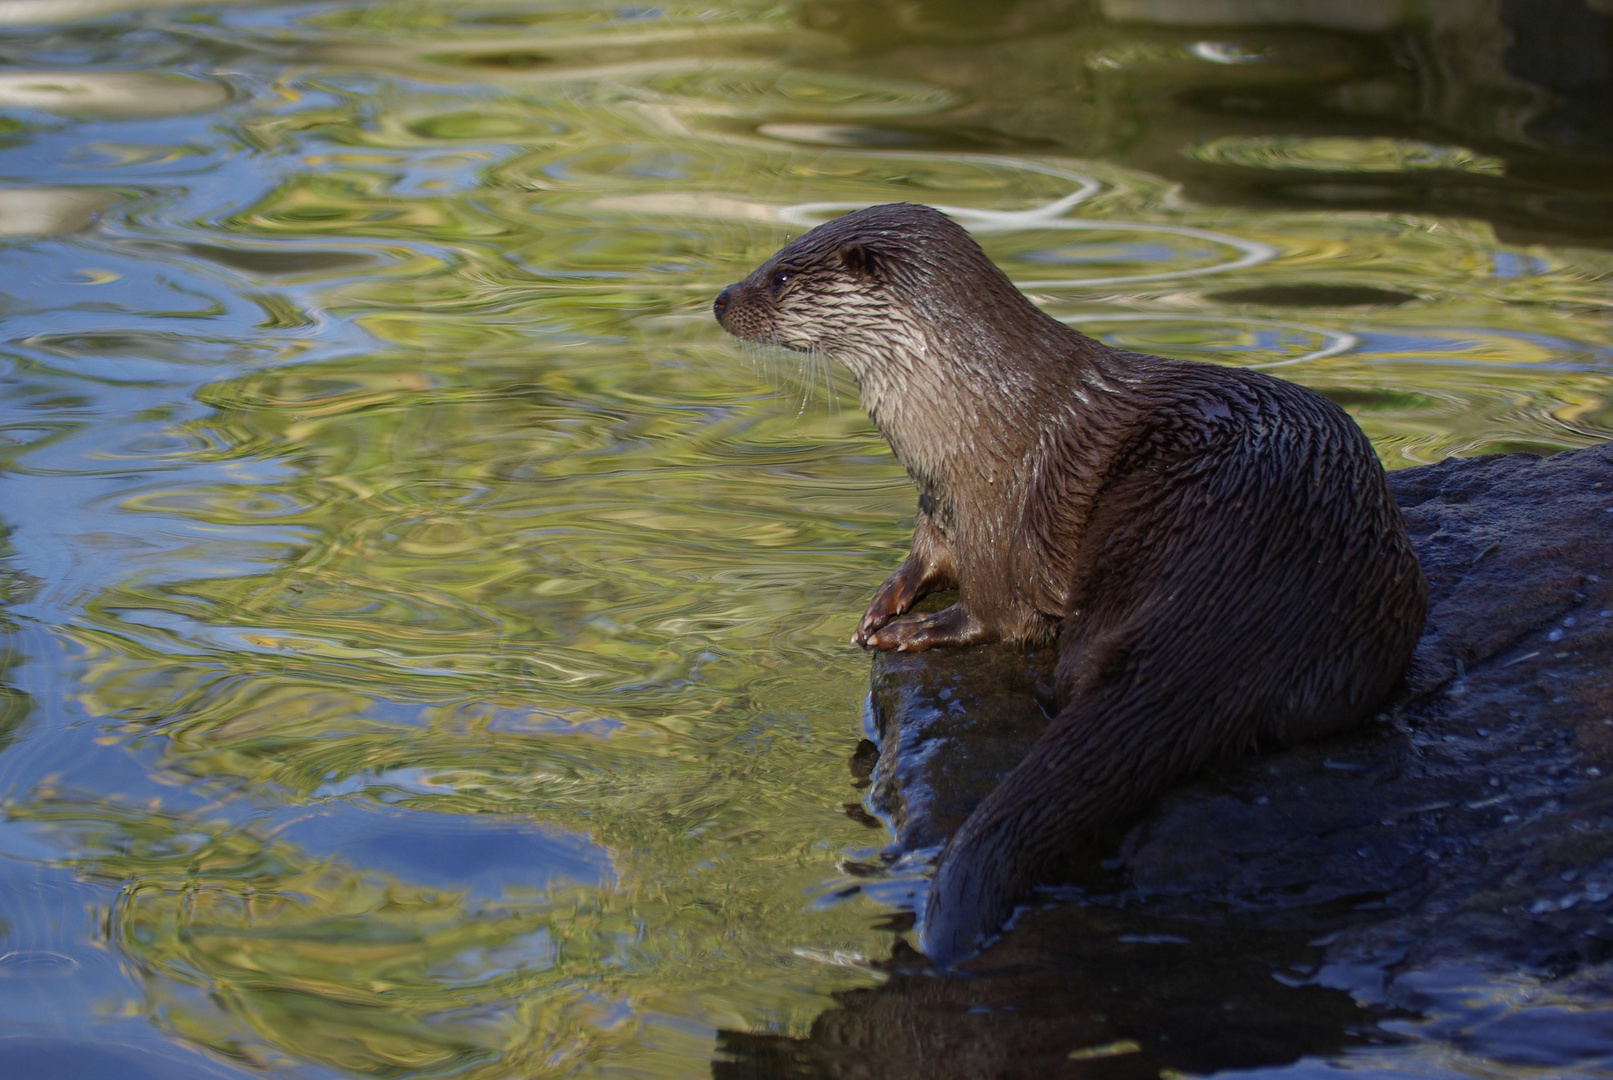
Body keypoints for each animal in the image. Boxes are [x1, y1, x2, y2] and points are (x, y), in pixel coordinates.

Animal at [712, 207, 1419, 967]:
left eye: (781, 275)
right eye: (775, 256)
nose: (720, 299)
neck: (969, 414)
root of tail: (1249, 605)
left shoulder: (994, 513)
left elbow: (995, 613)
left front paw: (915, 629)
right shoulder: (939, 504)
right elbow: (923, 556)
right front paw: (884, 600)